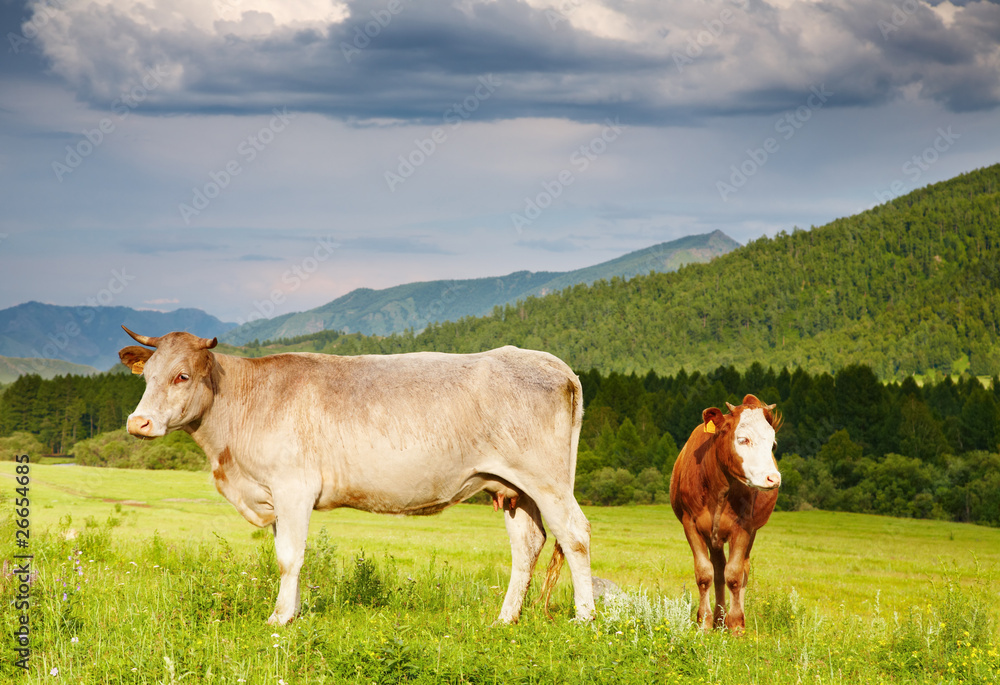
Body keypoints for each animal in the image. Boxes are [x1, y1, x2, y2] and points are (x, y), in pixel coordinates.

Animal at [118, 326, 592, 624]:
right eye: (149, 377)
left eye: (182, 376)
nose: (138, 423)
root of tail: (553, 364)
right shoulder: (274, 494)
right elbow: (288, 554)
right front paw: (293, 612)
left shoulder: (293, 486)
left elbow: (289, 556)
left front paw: (279, 618)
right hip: (514, 487)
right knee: (528, 545)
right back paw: (504, 620)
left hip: (547, 480)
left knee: (575, 534)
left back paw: (585, 619)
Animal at [672, 392, 780, 632]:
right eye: (743, 439)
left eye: (773, 444)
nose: (773, 478)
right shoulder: (690, 524)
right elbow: (705, 573)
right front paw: (704, 622)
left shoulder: (744, 527)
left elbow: (734, 575)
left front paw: (737, 625)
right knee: (718, 569)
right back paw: (719, 619)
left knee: (742, 570)